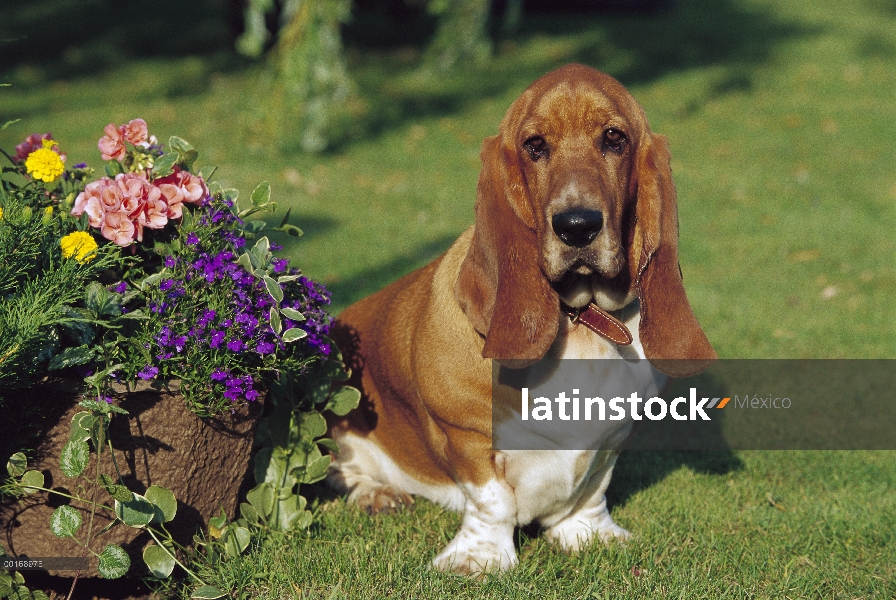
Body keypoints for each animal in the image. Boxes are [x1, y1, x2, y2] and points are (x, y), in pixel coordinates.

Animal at [328, 63, 712, 576]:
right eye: (535, 145)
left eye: (614, 138)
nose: (577, 226)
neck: (579, 320)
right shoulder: (467, 437)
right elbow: (493, 501)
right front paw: (478, 559)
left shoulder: (612, 438)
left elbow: (593, 489)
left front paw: (588, 534)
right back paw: (376, 495)